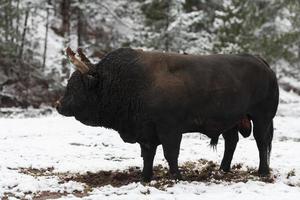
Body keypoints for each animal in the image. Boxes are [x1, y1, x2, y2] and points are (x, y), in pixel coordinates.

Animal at [56, 48, 278, 181]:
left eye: (76, 86)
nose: (58, 104)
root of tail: (261, 62)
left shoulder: (170, 129)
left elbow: (170, 153)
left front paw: (176, 176)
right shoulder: (146, 132)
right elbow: (148, 154)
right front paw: (145, 177)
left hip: (262, 118)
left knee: (261, 142)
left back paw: (263, 171)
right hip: (230, 121)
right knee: (231, 141)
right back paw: (222, 169)